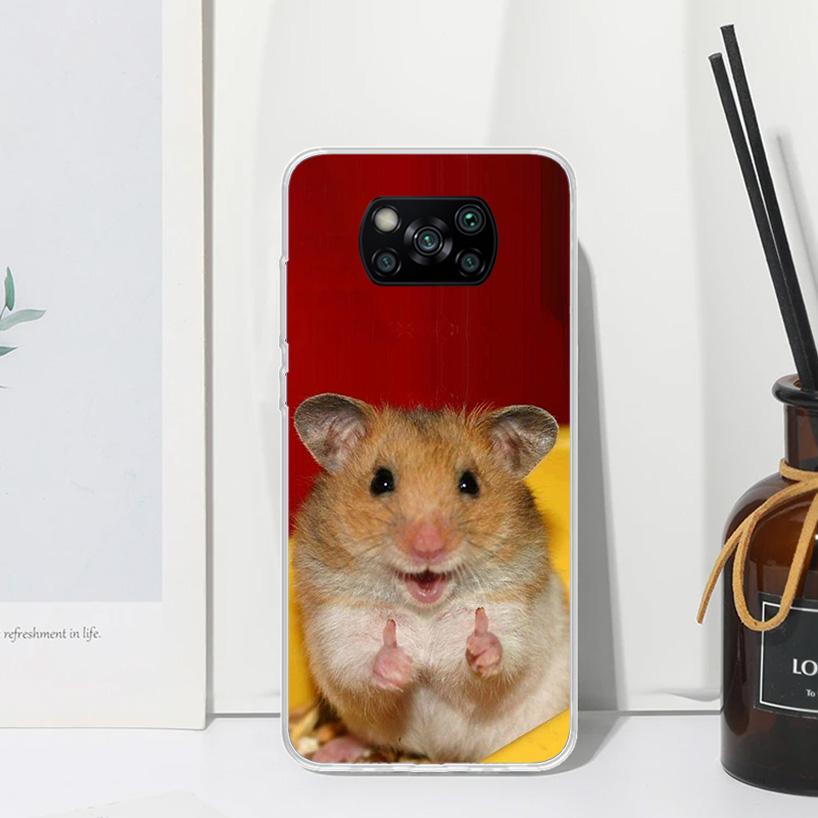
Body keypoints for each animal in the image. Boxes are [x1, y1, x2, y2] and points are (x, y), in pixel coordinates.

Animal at [292, 393, 569, 764]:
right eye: (380, 481)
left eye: (470, 483)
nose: (428, 548)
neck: (424, 610)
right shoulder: (338, 627)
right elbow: (356, 663)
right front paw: (400, 665)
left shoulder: (517, 618)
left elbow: (506, 655)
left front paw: (480, 644)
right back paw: (331, 752)